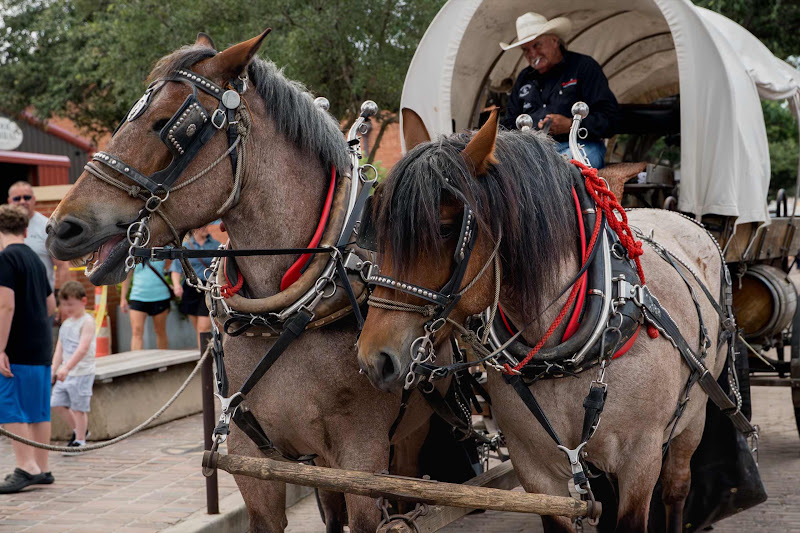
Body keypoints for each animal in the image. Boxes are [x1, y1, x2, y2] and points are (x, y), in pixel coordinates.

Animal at [356, 112, 731, 532]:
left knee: (676, 488)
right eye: (376, 231)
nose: (374, 359)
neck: (564, 355)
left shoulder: (641, 459)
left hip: (695, 414)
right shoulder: (535, 470)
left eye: (446, 228)